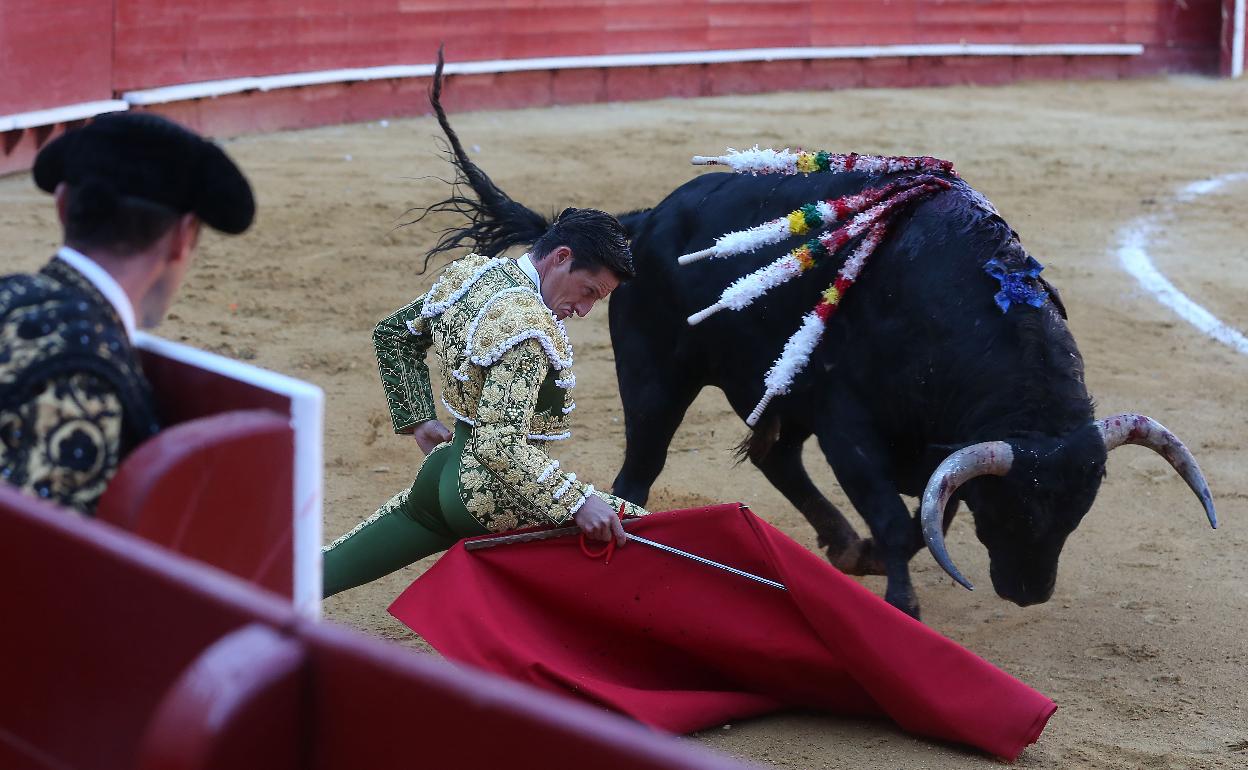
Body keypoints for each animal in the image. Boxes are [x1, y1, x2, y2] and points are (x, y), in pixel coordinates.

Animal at [414, 57, 1213, 616]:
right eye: (1011, 508)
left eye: (1079, 512)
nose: (1028, 590)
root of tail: (642, 222)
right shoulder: (848, 423)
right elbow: (898, 519)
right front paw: (900, 602)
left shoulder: (915, 438)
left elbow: (925, 513)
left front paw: (868, 559)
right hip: (659, 383)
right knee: (638, 471)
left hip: (777, 386)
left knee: (774, 456)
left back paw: (841, 544)